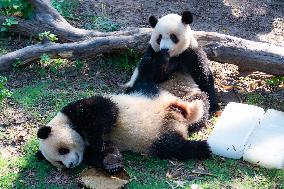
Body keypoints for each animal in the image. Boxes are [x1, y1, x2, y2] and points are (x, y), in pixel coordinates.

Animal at [36, 87, 211, 173]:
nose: (71, 165)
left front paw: (96, 141)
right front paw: (112, 165)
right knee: (174, 145)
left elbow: (105, 113)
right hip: (165, 133)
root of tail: (181, 120)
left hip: (167, 109)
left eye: (63, 150)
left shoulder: (81, 110)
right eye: (59, 162)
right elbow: (106, 151)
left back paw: (206, 147)